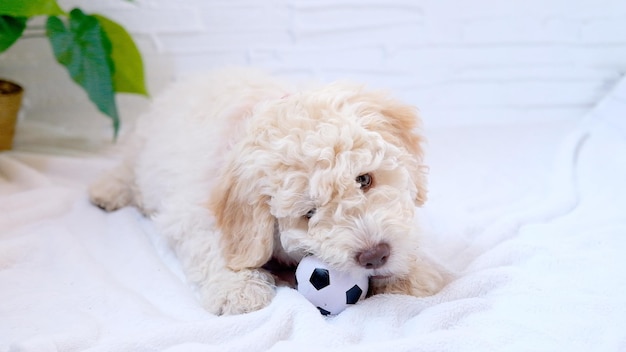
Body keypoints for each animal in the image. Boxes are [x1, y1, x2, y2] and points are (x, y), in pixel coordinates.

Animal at [90, 67, 446, 314]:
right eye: (309, 214)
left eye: (365, 180)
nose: (375, 256)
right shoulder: (191, 211)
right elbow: (212, 246)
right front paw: (238, 289)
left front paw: (415, 273)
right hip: (142, 148)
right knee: (126, 169)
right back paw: (107, 190)